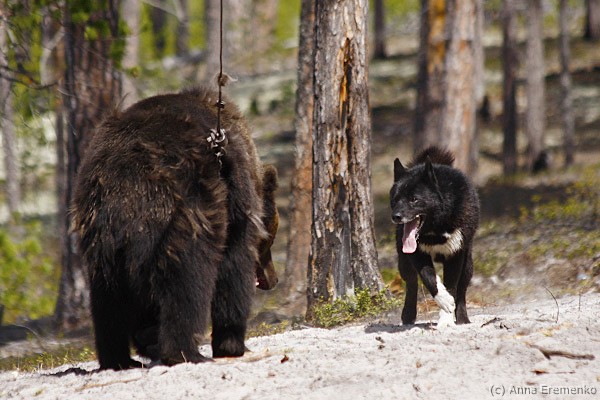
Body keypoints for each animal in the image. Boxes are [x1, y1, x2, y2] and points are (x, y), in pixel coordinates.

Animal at [71, 86, 279, 370]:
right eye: (271, 240)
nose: (273, 279)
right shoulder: (237, 202)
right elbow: (234, 268)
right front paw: (232, 344)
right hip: (189, 209)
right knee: (187, 279)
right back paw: (183, 352)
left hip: (100, 227)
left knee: (107, 295)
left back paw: (120, 357)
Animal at [390, 146, 480, 326]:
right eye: (395, 199)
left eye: (414, 199)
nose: (396, 217)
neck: (435, 229)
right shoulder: (417, 254)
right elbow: (428, 277)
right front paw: (443, 300)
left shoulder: (455, 254)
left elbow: (452, 286)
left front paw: (446, 318)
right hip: (403, 263)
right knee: (411, 283)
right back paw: (408, 315)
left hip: (468, 265)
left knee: (462, 291)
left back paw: (462, 318)